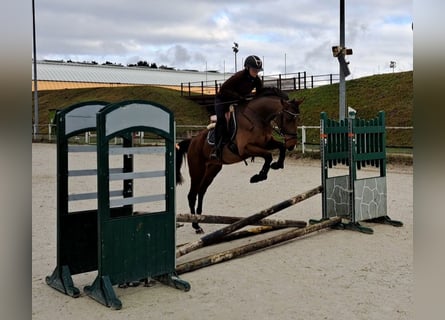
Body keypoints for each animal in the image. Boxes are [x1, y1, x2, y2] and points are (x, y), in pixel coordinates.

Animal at [174, 87, 302, 232]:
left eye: (297, 118)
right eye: (289, 118)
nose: (292, 144)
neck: (257, 118)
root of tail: (192, 140)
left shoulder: (267, 143)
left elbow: (280, 147)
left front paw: (277, 164)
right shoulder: (245, 149)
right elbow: (268, 156)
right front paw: (259, 176)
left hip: (212, 169)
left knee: (201, 191)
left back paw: (200, 217)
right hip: (197, 170)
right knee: (192, 195)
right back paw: (196, 225)